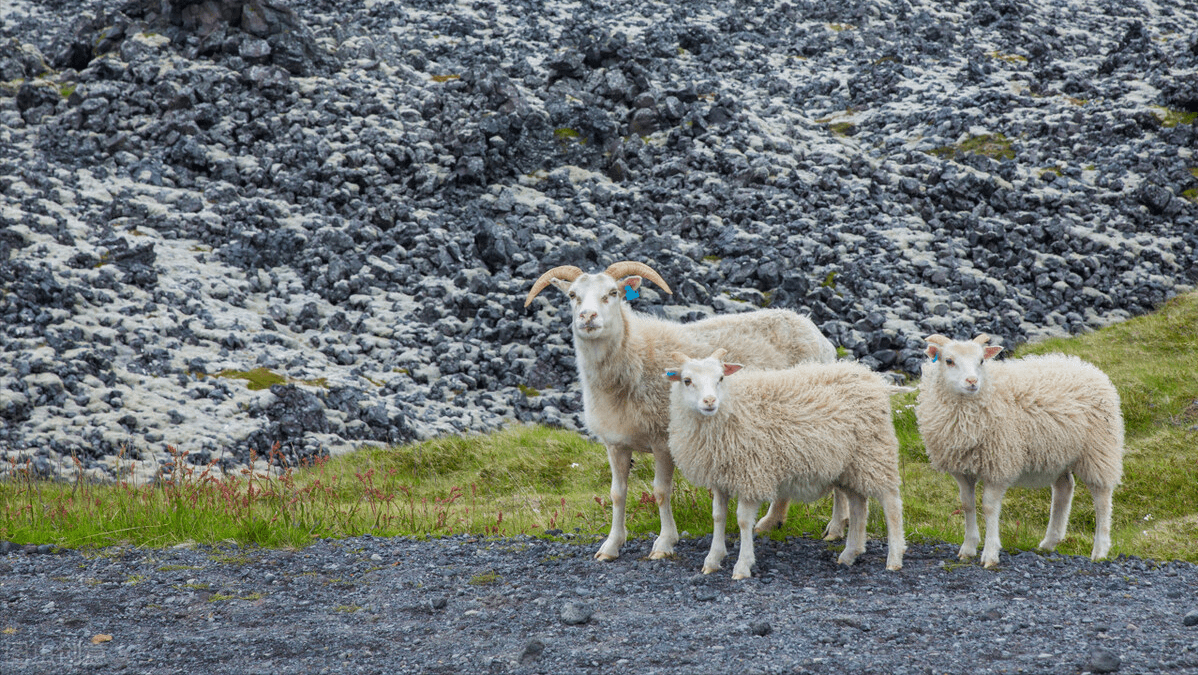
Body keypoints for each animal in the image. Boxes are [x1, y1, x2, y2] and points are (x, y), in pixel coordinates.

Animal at [524, 261, 843, 563]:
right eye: (572, 295)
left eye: (612, 293)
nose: (587, 317)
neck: (634, 356)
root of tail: (811, 326)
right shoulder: (615, 443)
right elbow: (617, 493)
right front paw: (611, 545)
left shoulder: (663, 440)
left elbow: (660, 492)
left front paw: (664, 543)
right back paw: (771, 522)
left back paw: (835, 528)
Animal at [666, 352, 905, 577]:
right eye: (687, 380)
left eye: (721, 378)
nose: (709, 401)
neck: (732, 405)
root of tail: (872, 378)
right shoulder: (720, 477)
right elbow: (718, 516)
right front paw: (713, 559)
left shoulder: (751, 474)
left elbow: (743, 521)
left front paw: (742, 565)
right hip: (850, 466)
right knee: (858, 506)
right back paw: (850, 553)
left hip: (875, 453)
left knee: (891, 503)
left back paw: (894, 557)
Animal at [915, 335, 1121, 568]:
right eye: (949, 361)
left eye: (981, 361)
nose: (972, 382)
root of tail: (1089, 368)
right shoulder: (962, 469)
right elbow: (967, 504)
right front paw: (968, 548)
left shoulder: (999, 464)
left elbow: (989, 507)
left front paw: (990, 554)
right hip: (1058, 453)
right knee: (1064, 488)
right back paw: (1049, 542)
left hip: (1099, 449)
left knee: (1102, 498)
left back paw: (1100, 550)